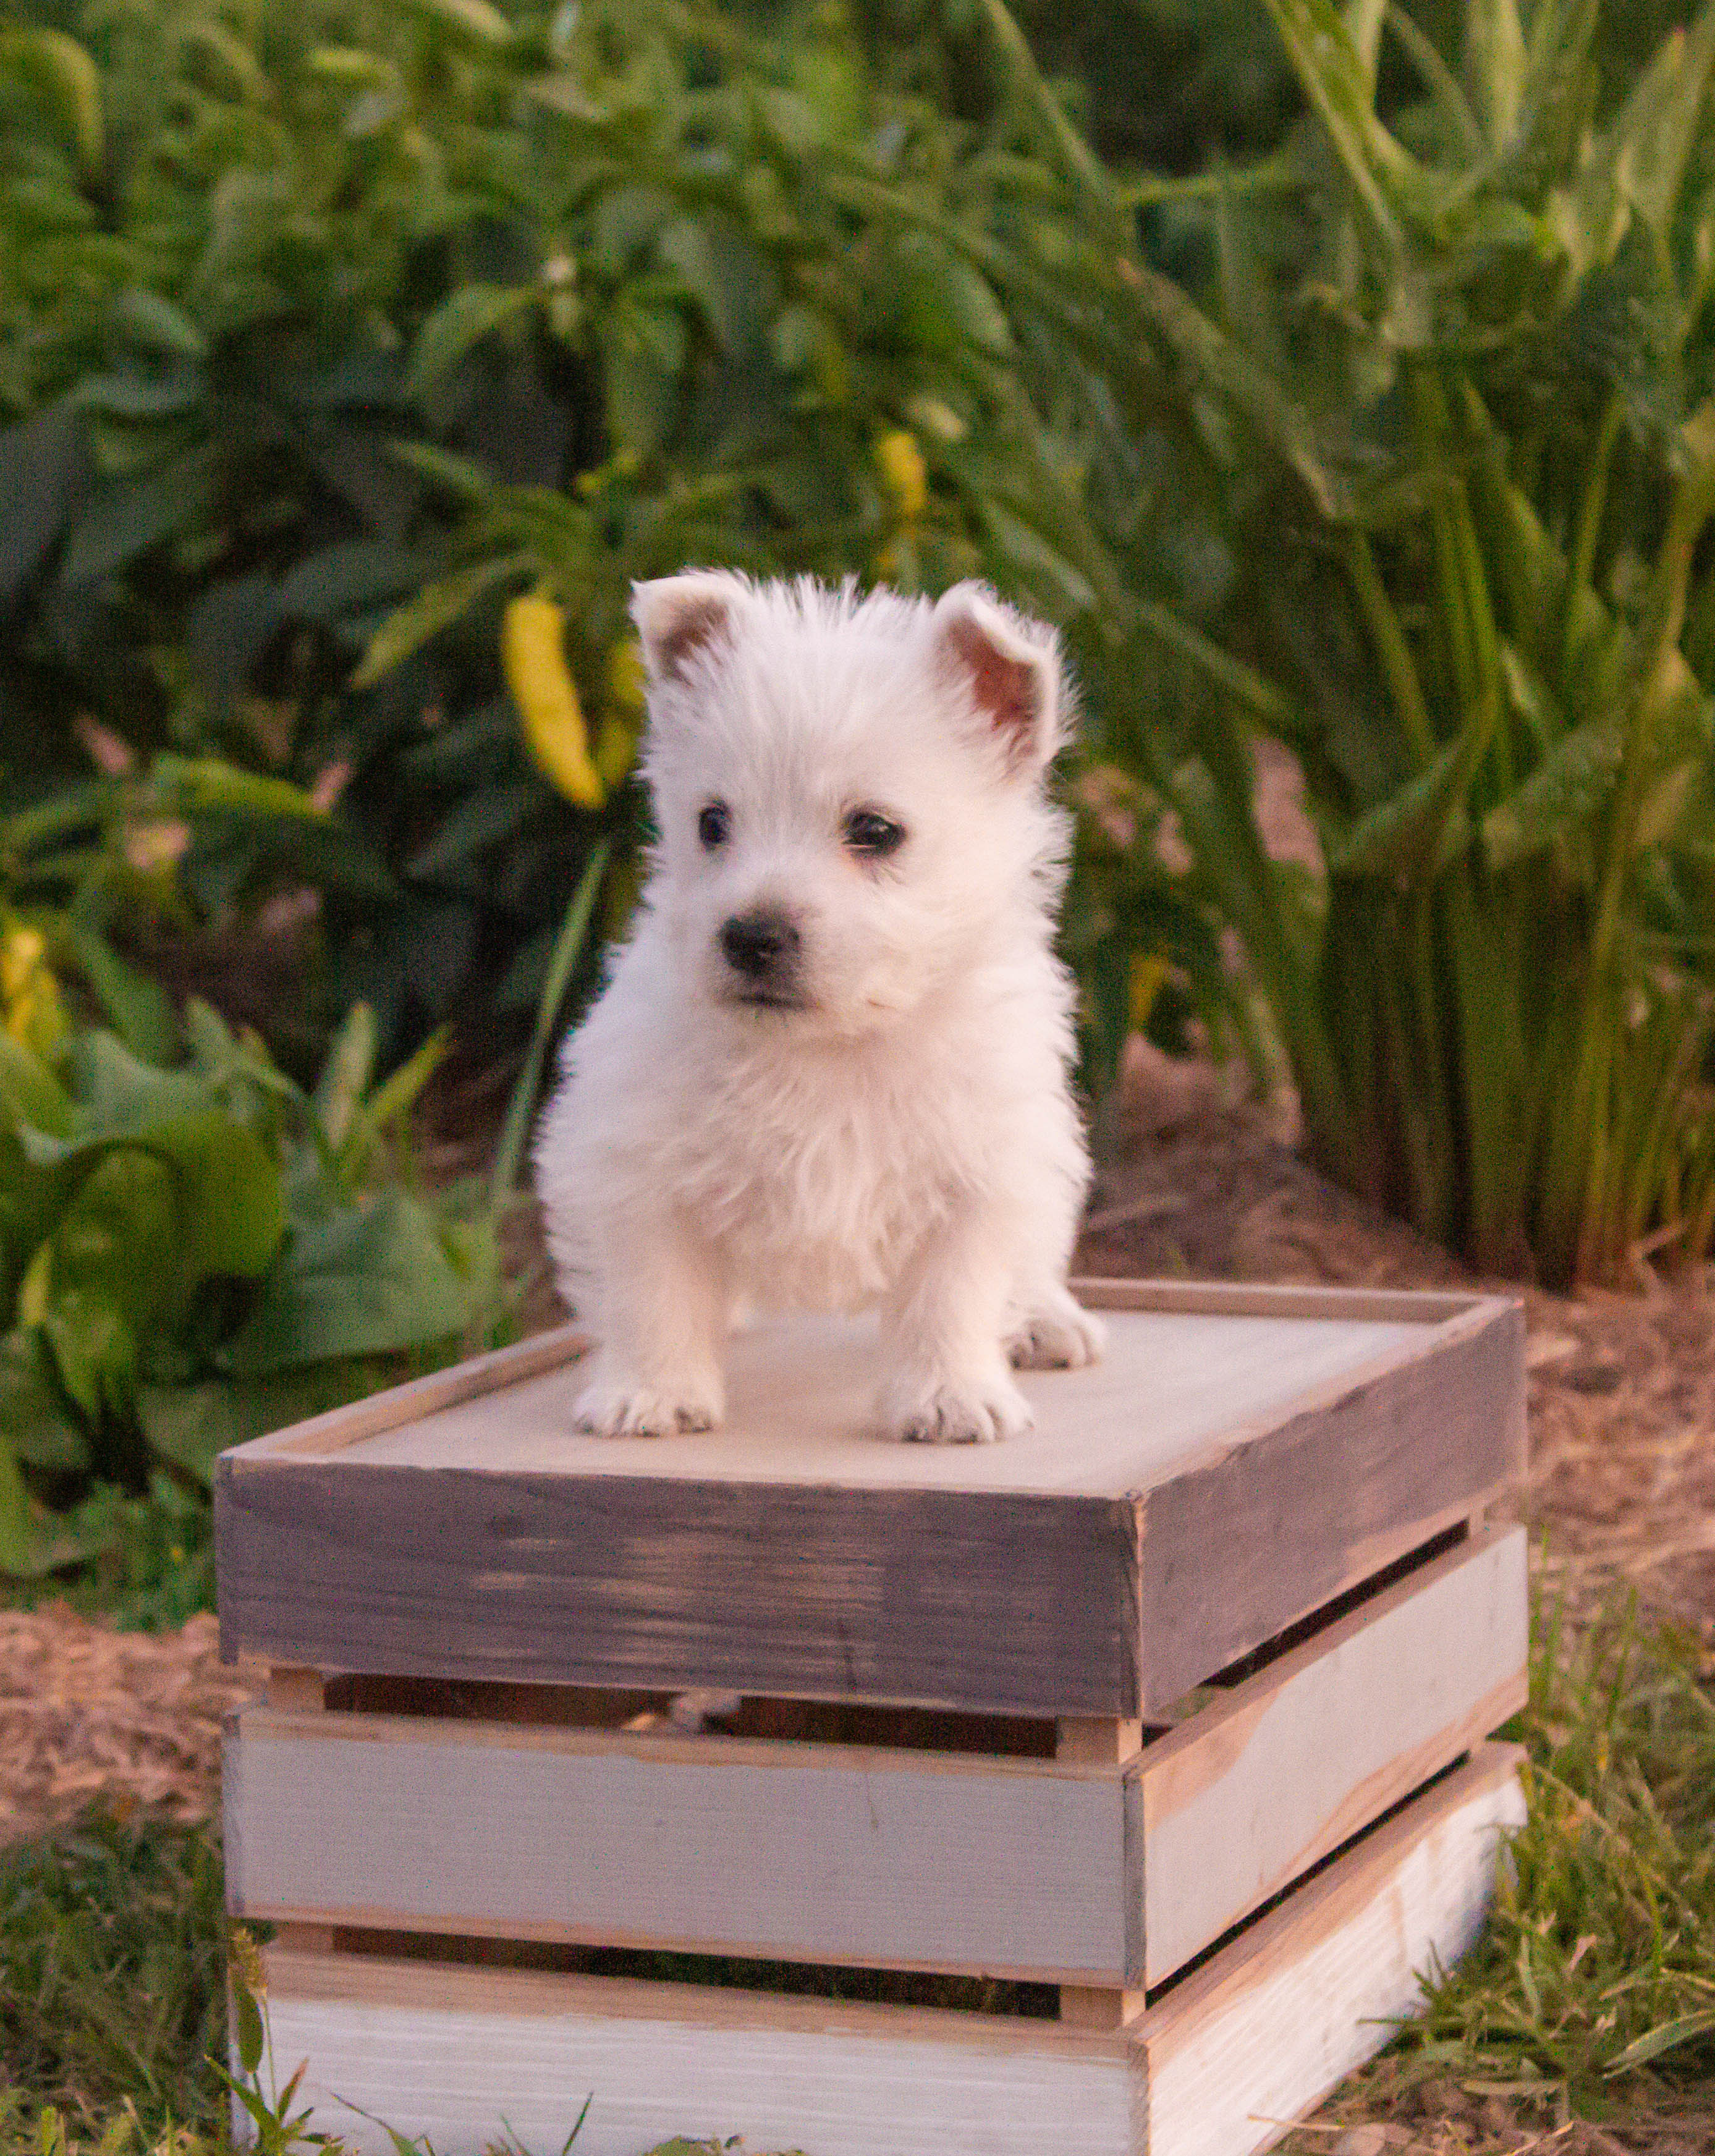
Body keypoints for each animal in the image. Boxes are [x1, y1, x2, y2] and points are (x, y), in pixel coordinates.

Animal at [530, 573, 1104, 1448]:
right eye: (712, 823)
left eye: (874, 829)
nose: (751, 936)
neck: (832, 1045)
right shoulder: (636, 1165)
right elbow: (654, 1292)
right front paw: (652, 1394)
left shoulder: (980, 1169)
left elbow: (953, 1293)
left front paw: (951, 1395)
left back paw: (1048, 1320)